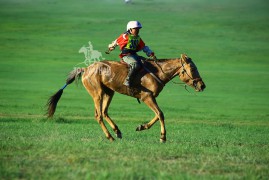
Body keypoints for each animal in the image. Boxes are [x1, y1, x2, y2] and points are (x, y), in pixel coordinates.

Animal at [46, 53, 205, 142]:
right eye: (192, 68)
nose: (202, 85)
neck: (158, 72)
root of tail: (85, 69)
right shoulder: (147, 97)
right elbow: (160, 114)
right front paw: (162, 137)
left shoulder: (150, 98)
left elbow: (158, 114)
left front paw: (141, 127)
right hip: (97, 94)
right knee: (98, 115)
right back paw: (110, 136)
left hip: (109, 93)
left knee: (104, 112)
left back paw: (117, 131)